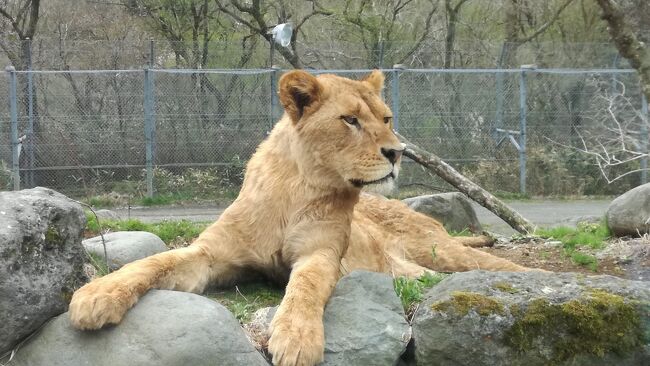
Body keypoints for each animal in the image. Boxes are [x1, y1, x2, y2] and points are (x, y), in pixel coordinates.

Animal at [69, 70, 528, 364]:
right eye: (350, 120)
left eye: (386, 119)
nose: (398, 152)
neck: (298, 187)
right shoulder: (211, 255)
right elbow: (155, 261)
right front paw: (97, 294)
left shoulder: (321, 253)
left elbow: (304, 287)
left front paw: (296, 338)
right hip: (411, 269)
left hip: (440, 249)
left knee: (498, 264)